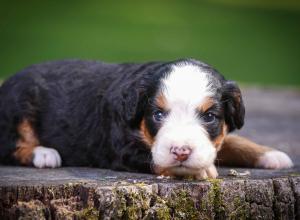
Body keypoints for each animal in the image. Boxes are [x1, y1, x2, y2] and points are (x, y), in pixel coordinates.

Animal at [0, 59, 292, 180]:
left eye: (210, 116)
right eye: (158, 114)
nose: (181, 151)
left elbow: (231, 142)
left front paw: (271, 154)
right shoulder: (123, 148)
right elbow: (156, 159)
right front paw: (199, 170)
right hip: (17, 107)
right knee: (11, 146)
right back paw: (44, 153)